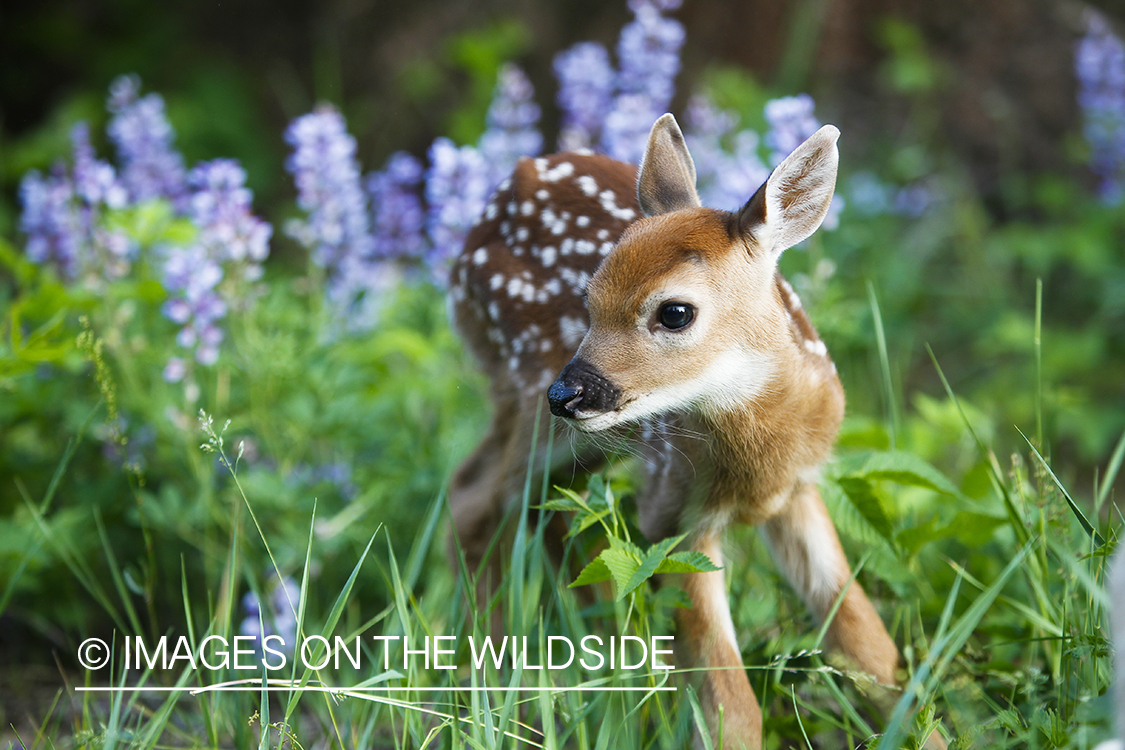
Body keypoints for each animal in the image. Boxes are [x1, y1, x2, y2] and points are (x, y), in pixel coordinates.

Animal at [447, 113, 938, 749]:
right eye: (589, 298)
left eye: (675, 312)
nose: (568, 393)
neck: (758, 460)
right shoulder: (674, 514)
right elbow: (732, 707)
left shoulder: (799, 488)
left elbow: (871, 651)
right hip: (529, 399)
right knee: (477, 495)